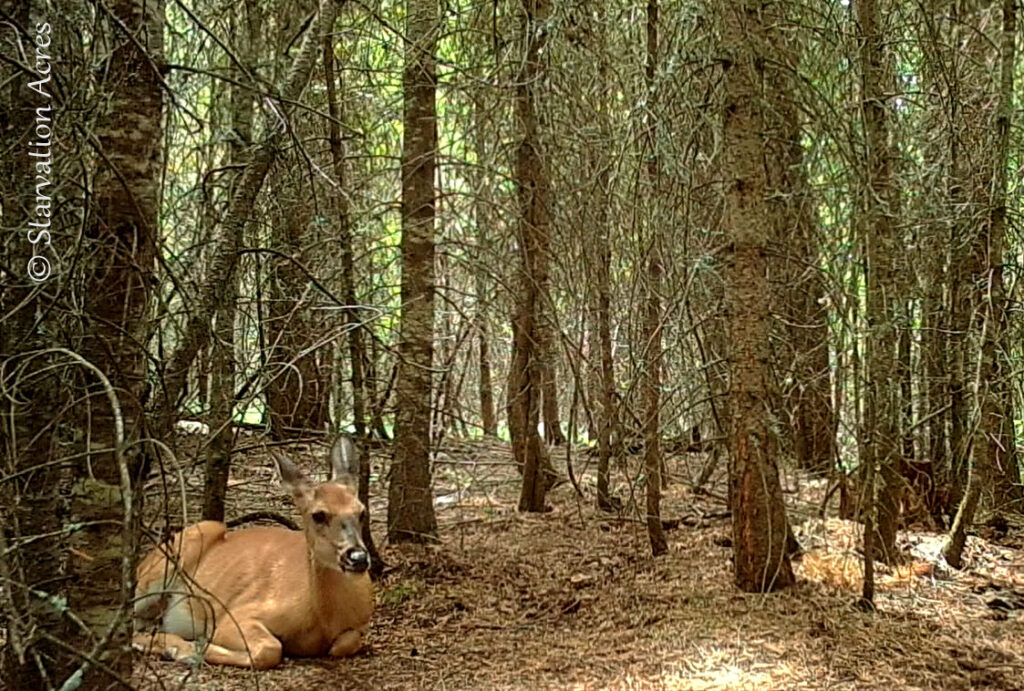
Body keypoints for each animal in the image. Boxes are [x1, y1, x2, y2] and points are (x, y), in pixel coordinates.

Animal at [134, 438, 374, 671]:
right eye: (318, 515)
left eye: (362, 512)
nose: (358, 558)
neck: (323, 619)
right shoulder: (236, 615)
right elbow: (270, 649)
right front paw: (193, 649)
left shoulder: (359, 625)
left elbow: (345, 643)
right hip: (180, 549)